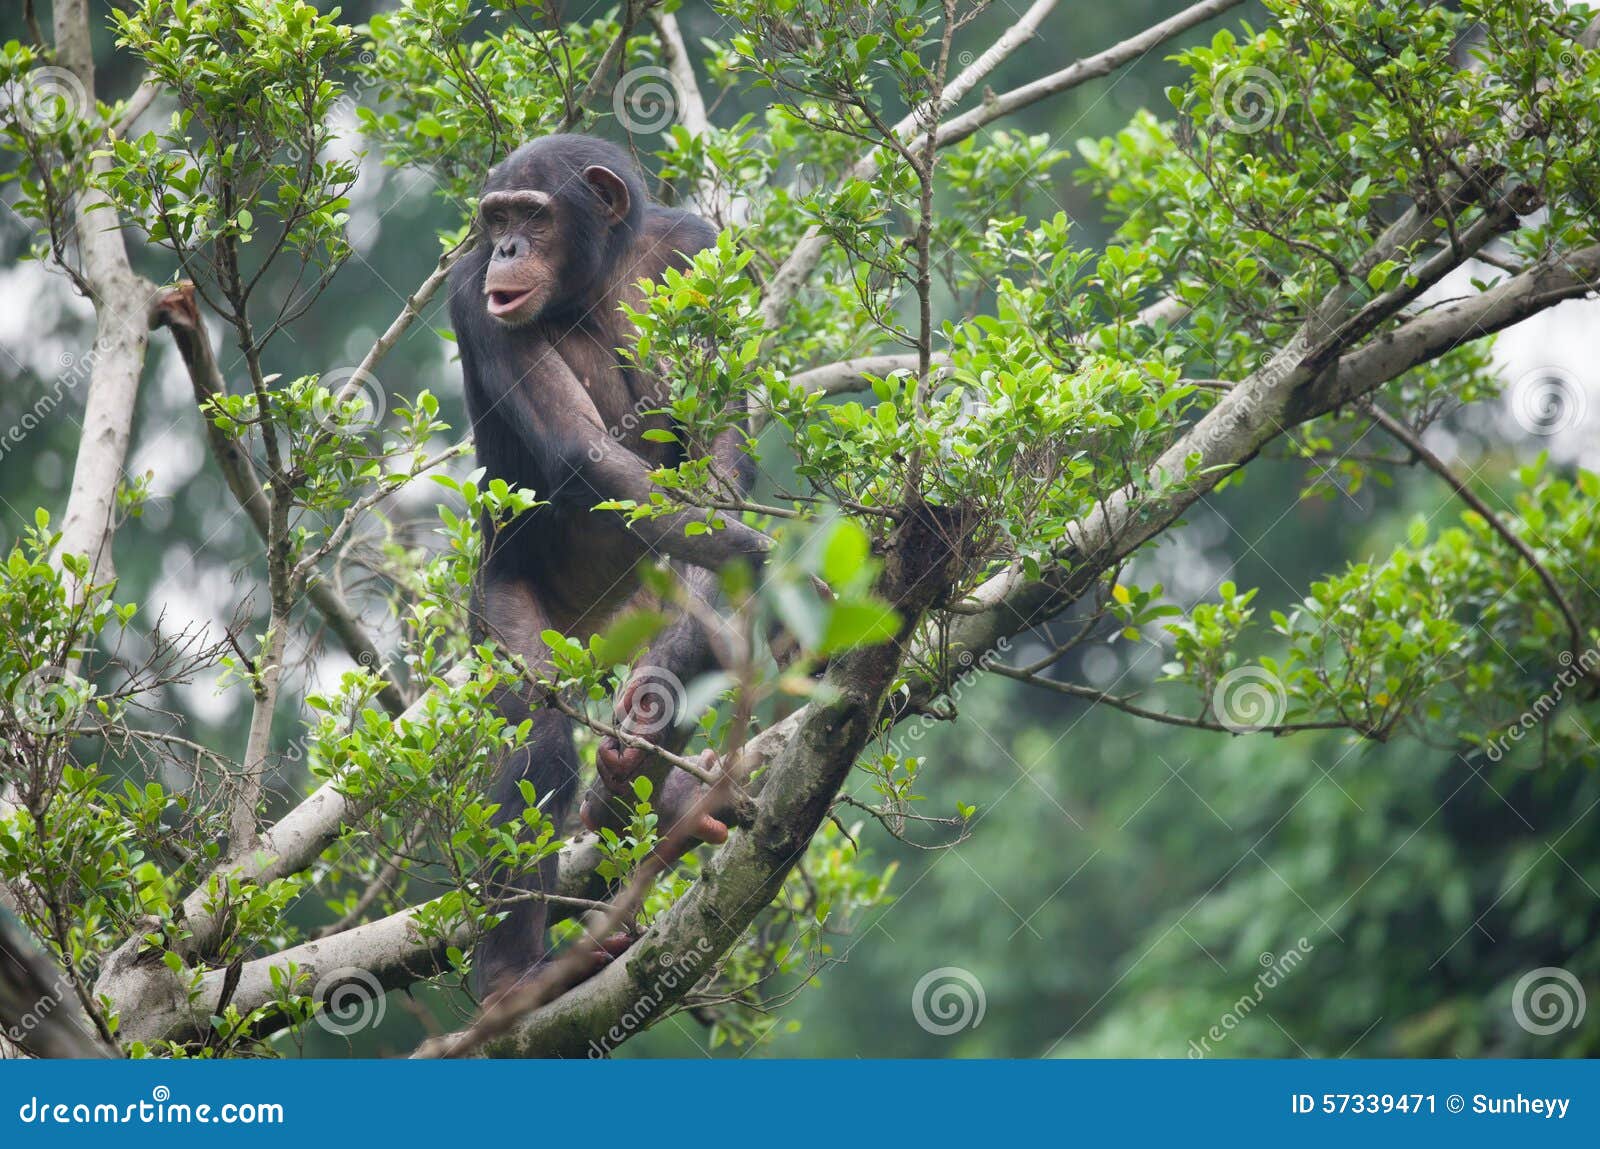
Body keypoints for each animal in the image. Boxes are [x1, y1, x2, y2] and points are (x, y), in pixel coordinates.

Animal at [451, 137, 768, 998]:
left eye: (532, 216)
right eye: (496, 217)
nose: (507, 248)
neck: (598, 271)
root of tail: (594, 629)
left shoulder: (701, 253)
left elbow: (717, 451)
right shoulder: (472, 295)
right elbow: (578, 450)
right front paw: (757, 553)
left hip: (650, 606)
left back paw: (647, 786)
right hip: (503, 600)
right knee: (540, 732)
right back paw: (515, 973)